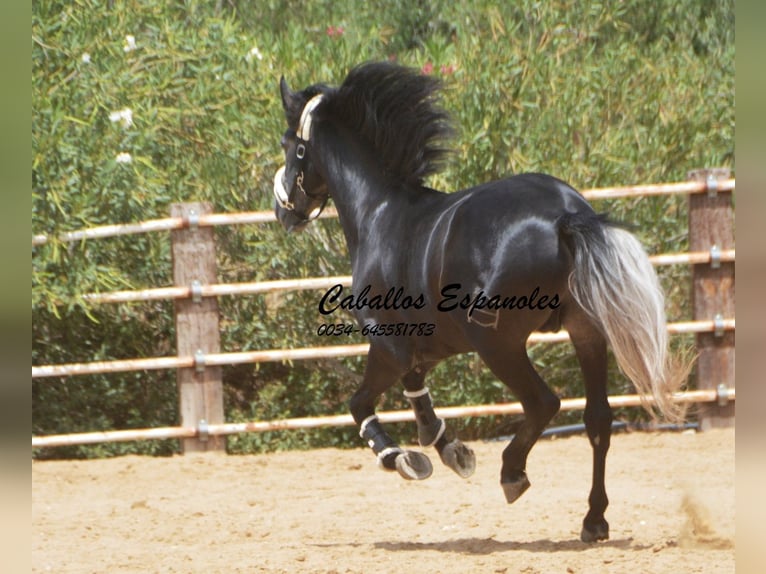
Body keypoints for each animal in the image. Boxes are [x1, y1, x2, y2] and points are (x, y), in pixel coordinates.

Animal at [274, 63, 688, 544]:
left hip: (497, 343)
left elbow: (360, 404)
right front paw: (448, 448)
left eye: (290, 145)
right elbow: (417, 392)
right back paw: (594, 520)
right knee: (598, 420)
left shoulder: (388, 346)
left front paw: (405, 459)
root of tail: (565, 215)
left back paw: (512, 474)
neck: (378, 213)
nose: (283, 210)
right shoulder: (425, 347)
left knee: (543, 403)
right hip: (585, 332)